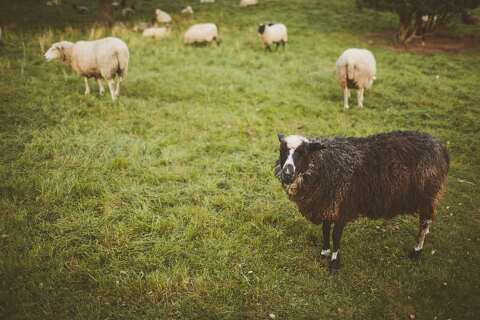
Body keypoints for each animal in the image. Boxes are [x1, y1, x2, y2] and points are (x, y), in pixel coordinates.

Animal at [276, 131, 448, 272]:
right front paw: (324, 252)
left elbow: (336, 235)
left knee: (424, 224)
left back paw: (417, 251)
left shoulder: (343, 206)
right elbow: (325, 230)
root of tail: (439, 145)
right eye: (282, 150)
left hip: (428, 194)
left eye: (303, 152)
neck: (325, 163)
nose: (287, 174)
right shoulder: (328, 204)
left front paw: (334, 263)